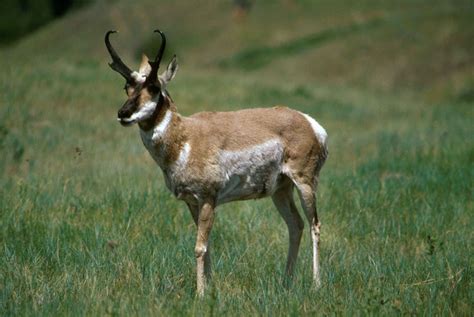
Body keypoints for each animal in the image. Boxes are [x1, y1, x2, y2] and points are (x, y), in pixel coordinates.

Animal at [105, 29, 328, 294]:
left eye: (154, 86)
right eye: (126, 86)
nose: (122, 114)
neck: (185, 137)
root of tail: (309, 122)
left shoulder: (208, 199)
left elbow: (199, 247)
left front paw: (200, 294)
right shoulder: (192, 202)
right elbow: (207, 245)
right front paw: (209, 289)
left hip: (305, 183)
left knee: (315, 225)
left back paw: (316, 284)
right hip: (280, 190)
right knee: (296, 225)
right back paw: (286, 281)